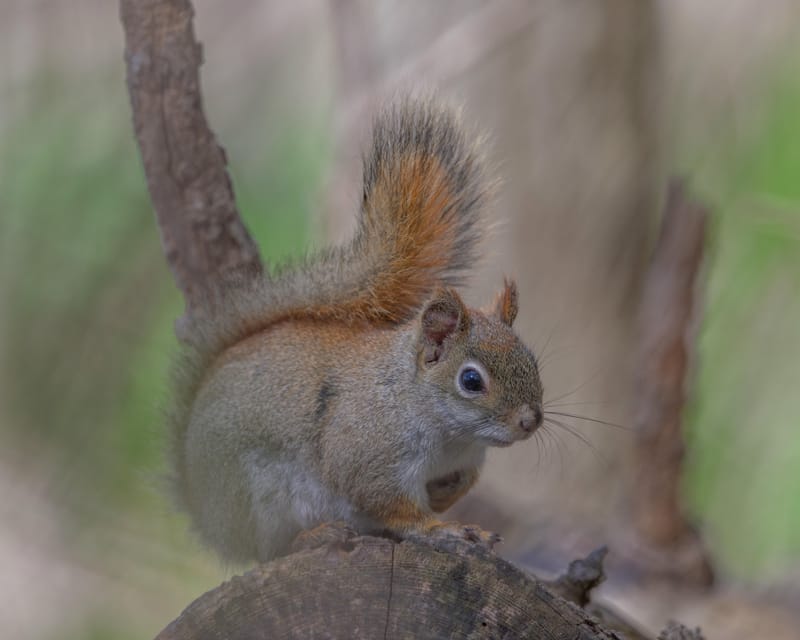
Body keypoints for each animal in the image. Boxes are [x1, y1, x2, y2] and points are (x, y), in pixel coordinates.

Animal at [168, 98, 544, 563]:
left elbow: (457, 485)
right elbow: (388, 502)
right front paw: (442, 529)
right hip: (259, 499)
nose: (530, 421)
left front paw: (447, 502)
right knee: (270, 550)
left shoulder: (465, 462)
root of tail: (206, 515)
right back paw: (316, 536)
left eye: (533, 362)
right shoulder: (366, 452)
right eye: (471, 381)